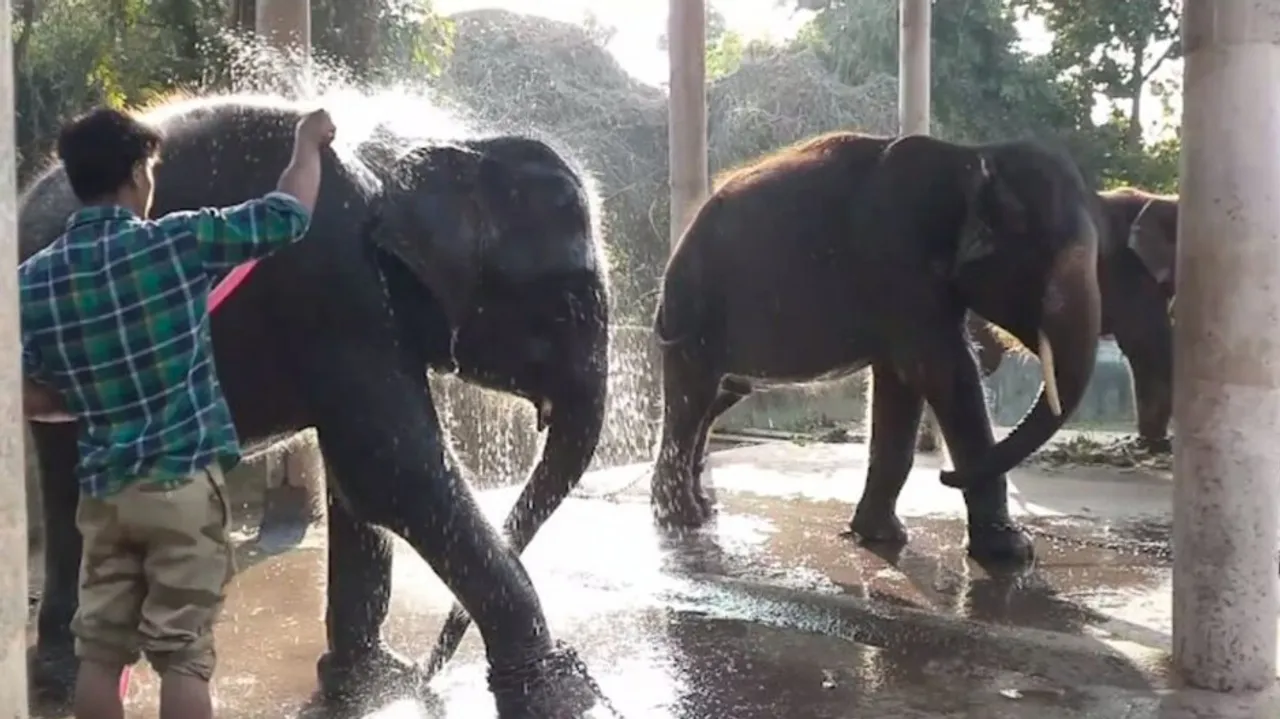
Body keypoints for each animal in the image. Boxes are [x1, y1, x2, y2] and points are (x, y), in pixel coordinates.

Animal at [649, 131, 1103, 564]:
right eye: (1045, 272)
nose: (944, 477)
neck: (974, 159)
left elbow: (901, 386)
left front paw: (881, 536)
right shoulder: (898, 262)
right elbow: (944, 371)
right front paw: (1013, 553)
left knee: (719, 397)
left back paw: (697, 507)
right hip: (696, 307)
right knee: (693, 394)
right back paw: (683, 518)